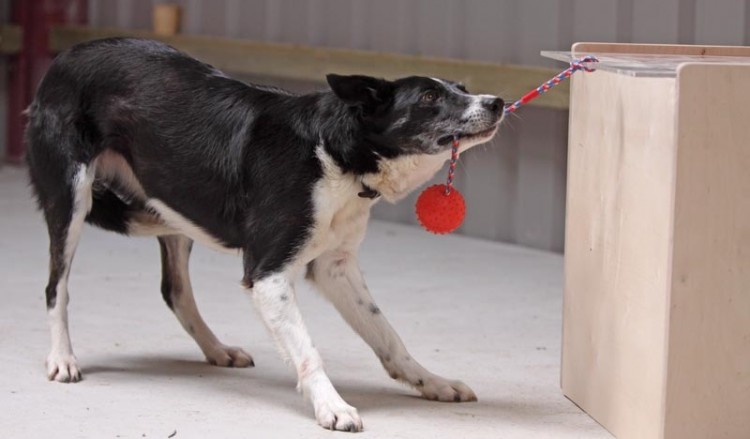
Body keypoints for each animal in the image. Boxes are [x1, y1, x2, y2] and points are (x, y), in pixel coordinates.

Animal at [25, 38, 506, 434]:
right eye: (429, 98)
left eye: (462, 87)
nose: (498, 101)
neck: (334, 152)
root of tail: (61, 60)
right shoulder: (268, 274)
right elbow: (308, 350)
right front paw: (332, 406)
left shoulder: (335, 268)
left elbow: (387, 335)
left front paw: (432, 382)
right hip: (71, 196)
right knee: (55, 287)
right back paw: (63, 358)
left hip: (176, 200)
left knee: (175, 291)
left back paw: (217, 349)